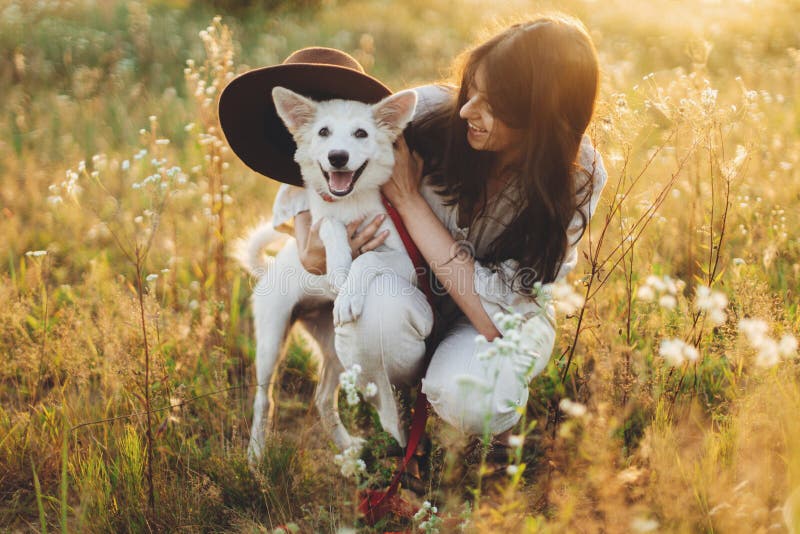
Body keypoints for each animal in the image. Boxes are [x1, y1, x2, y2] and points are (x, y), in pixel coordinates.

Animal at [239, 86, 418, 462]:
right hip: (271, 342)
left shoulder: (409, 263)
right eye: (323, 132)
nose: (337, 157)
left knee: (322, 399)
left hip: (336, 348)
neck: (350, 204)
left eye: (361, 134)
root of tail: (268, 270)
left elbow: (367, 259)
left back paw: (348, 449)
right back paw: (256, 455)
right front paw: (338, 265)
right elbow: (330, 224)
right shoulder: (323, 221)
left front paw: (348, 289)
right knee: (264, 400)